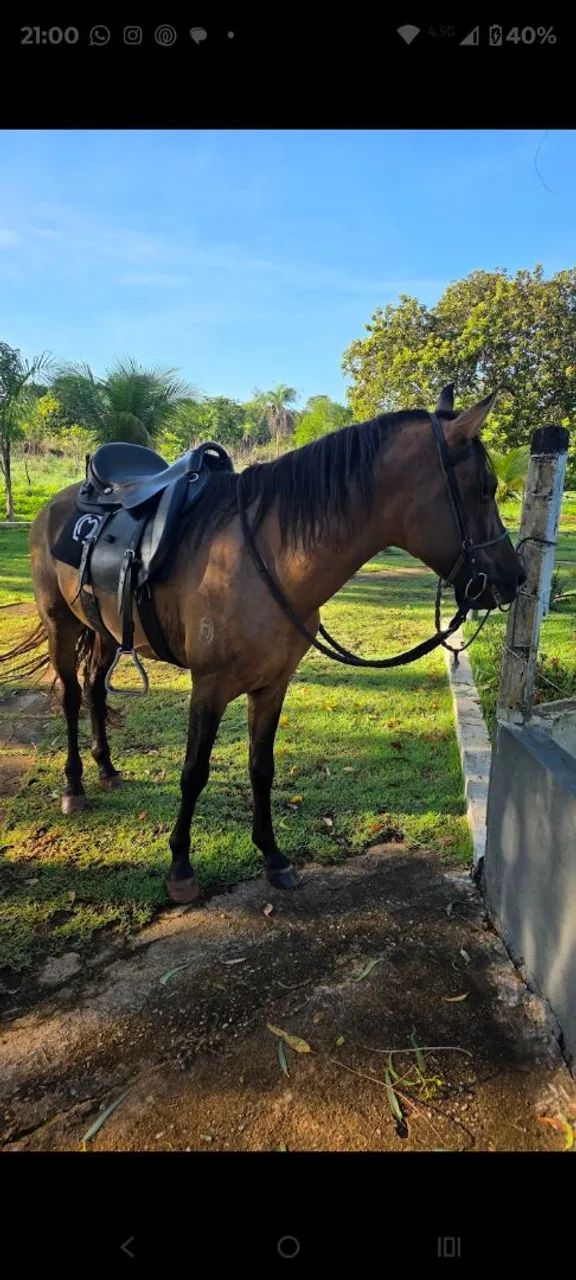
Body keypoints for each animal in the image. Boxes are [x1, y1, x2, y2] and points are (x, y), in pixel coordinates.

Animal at [3, 387, 525, 905]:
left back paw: (107, 766)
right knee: (72, 695)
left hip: (108, 630)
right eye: (484, 488)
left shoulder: (273, 685)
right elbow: (194, 771)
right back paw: (74, 786)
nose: (514, 578)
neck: (267, 559)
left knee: (95, 687)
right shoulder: (208, 688)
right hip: (61, 626)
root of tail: (57, 504)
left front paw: (272, 855)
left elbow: (262, 767)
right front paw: (180, 866)